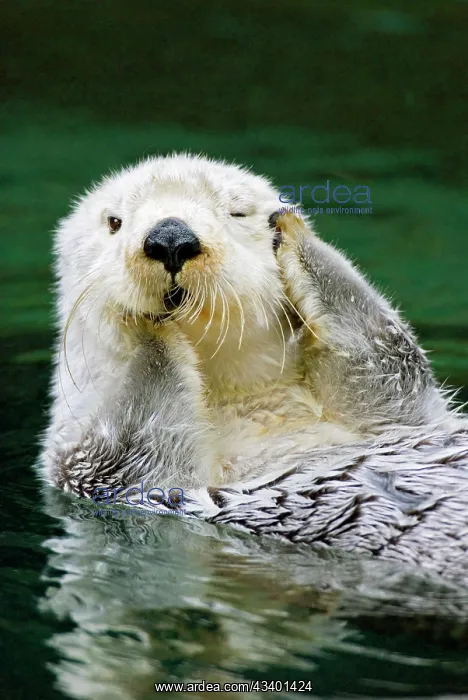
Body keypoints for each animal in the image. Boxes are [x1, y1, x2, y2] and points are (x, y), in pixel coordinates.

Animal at [40, 154, 468, 577]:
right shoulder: (96, 465)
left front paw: (293, 231)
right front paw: (144, 320)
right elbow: (138, 434)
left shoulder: (401, 414)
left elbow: (385, 356)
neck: (244, 402)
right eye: (114, 221)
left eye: (237, 212)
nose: (170, 238)